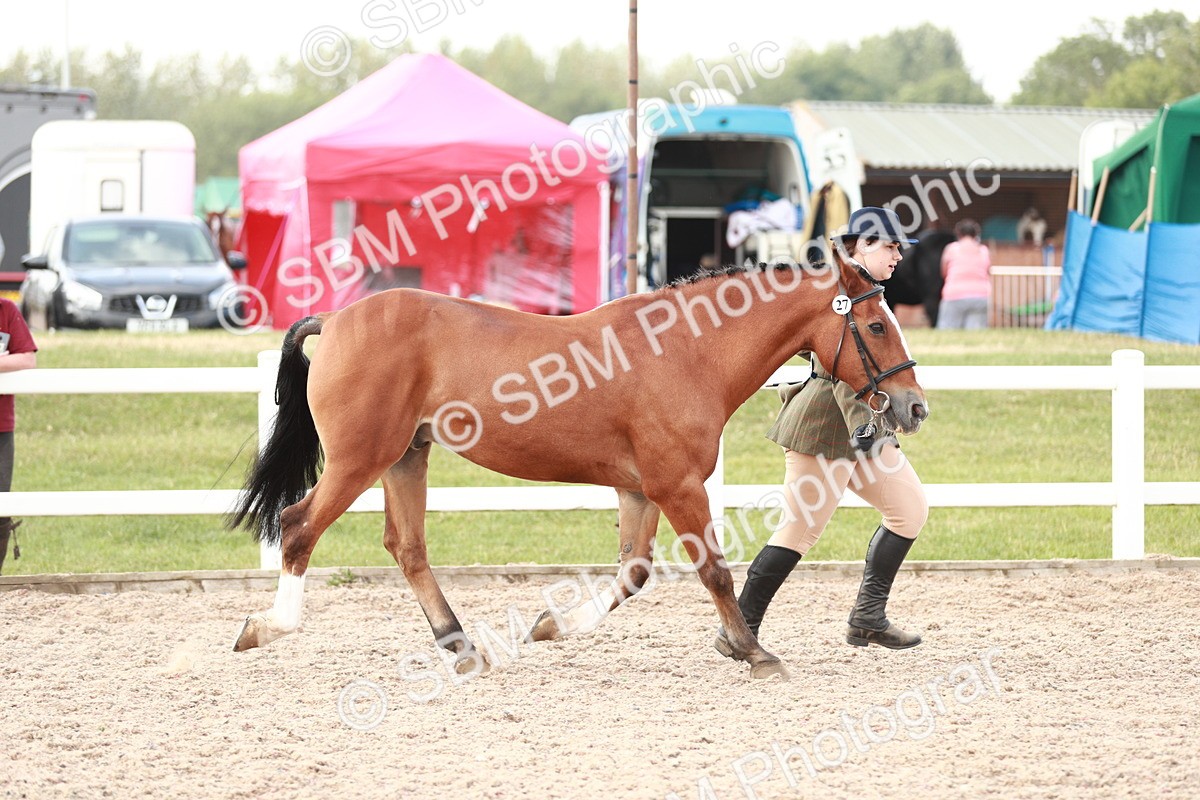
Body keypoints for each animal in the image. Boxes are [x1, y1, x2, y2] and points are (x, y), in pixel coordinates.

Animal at [227, 251, 928, 680]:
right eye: (875, 324)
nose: (914, 406)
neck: (686, 350)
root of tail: (337, 318)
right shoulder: (678, 487)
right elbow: (714, 572)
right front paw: (757, 653)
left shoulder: (640, 490)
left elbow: (634, 573)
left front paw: (551, 626)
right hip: (360, 459)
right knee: (299, 526)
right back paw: (266, 627)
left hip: (406, 458)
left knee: (408, 548)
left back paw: (463, 648)